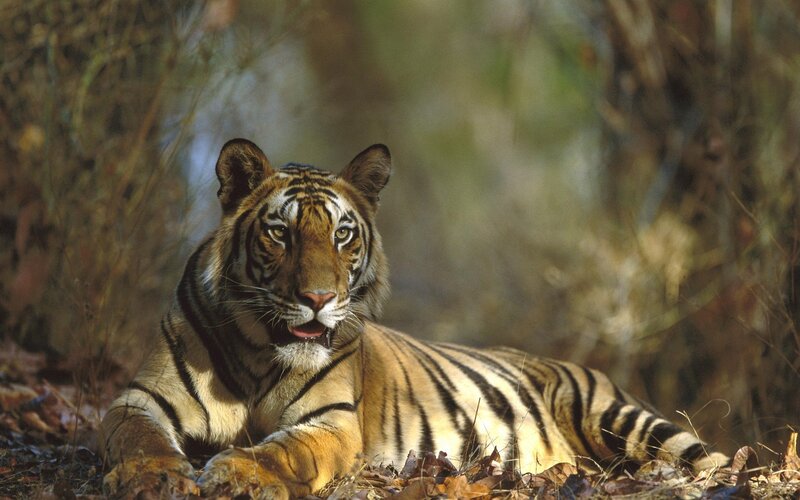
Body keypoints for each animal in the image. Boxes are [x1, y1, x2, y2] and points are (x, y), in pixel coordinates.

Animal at [100, 139, 730, 498]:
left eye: (342, 234)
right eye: (280, 233)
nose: (319, 298)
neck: (260, 349)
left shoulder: (331, 422)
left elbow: (283, 450)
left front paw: (235, 474)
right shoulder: (141, 398)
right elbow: (136, 437)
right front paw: (153, 477)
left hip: (623, 419)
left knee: (711, 460)